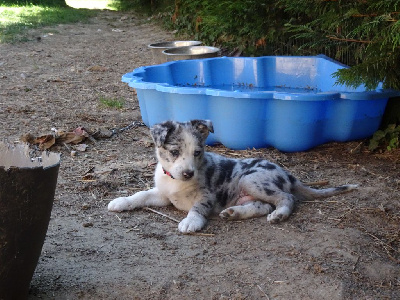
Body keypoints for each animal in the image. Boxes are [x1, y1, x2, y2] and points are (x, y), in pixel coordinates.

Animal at [107, 119, 356, 232]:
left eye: (197, 152)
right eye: (175, 152)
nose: (188, 173)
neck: (175, 182)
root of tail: (286, 173)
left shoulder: (207, 196)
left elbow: (197, 208)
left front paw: (191, 221)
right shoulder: (163, 194)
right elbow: (140, 195)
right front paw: (121, 201)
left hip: (251, 179)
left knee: (287, 198)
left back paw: (279, 215)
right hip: (249, 192)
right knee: (263, 206)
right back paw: (233, 213)